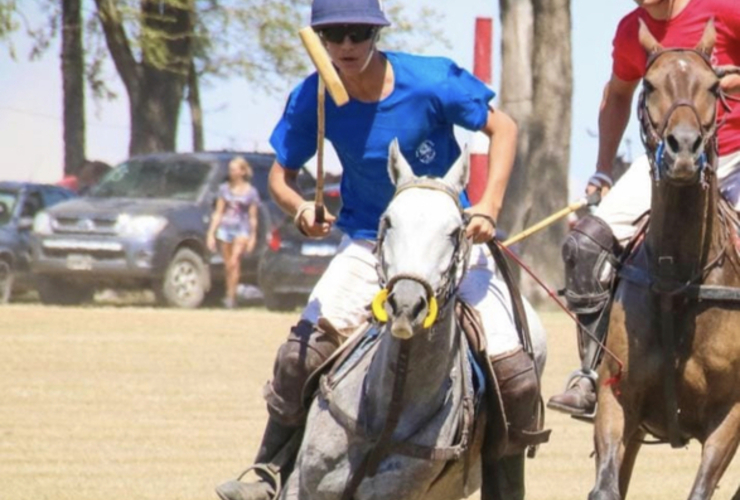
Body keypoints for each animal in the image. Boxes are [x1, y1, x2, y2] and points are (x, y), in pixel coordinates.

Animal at [592, 19, 740, 500]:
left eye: (713, 86)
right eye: (651, 84)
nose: (683, 150)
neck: (680, 277)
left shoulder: (730, 415)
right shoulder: (618, 397)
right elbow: (606, 488)